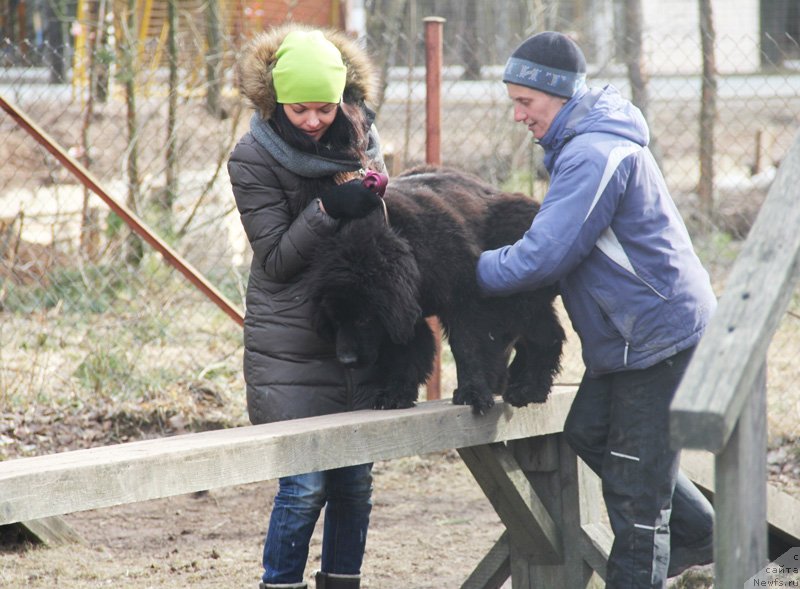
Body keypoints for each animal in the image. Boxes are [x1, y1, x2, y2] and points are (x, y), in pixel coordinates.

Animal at [310, 165, 564, 414]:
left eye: (363, 320)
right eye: (335, 321)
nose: (347, 360)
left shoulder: (465, 299)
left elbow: (467, 345)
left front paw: (472, 393)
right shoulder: (403, 315)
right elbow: (406, 351)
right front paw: (395, 394)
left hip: (517, 295)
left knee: (541, 336)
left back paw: (527, 388)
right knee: (545, 335)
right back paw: (523, 385)